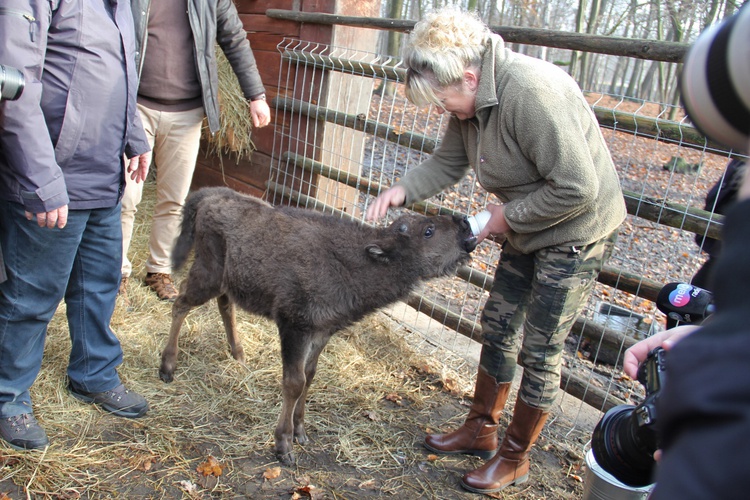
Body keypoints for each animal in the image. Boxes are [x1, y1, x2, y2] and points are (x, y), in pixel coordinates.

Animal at [159, 188, 478, 464]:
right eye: (428, 231)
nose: (465, 225)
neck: (356, 261)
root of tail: (210, 195)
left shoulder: (323, 331)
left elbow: (309, 376)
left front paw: (301, 432)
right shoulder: (294, 326)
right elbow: (294, 382)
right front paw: (283, 445)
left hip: (227, 279)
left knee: (224, 304)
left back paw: (238, 354)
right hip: (207, 274)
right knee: (181, 303)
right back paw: (167, 367)